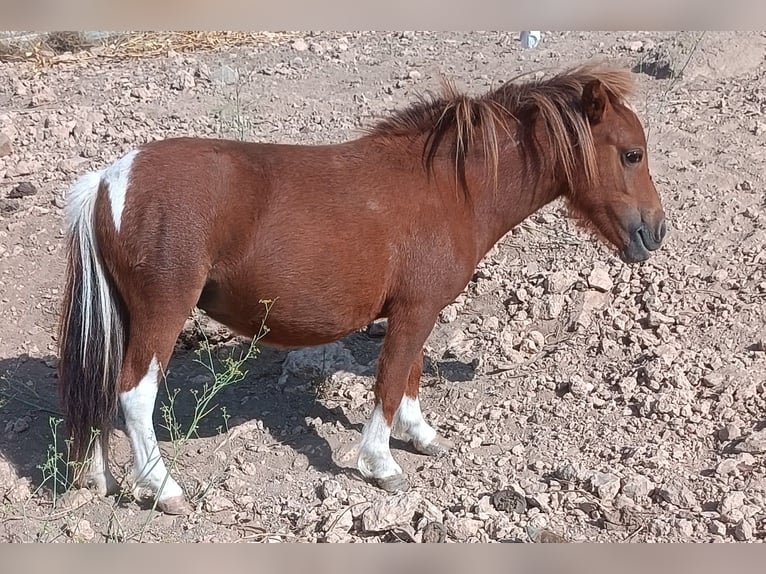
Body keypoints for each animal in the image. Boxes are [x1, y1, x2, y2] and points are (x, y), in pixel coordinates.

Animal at [58, 65, 664, 516]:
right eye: (632, 153)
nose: (655, 232)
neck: (451, 187)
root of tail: (109, 180)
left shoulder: (417, 309)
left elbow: (411, 374)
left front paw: (421, 436)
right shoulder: (415, 309)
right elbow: (392, 379)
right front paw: (382, 464)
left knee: (105, 388)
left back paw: (100, 477)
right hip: (163, 313)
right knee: (134, 395)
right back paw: (163, 489)